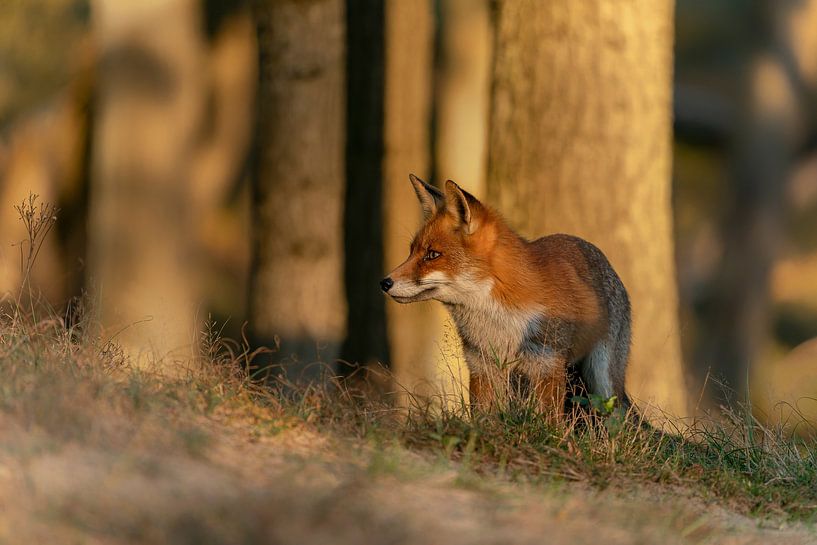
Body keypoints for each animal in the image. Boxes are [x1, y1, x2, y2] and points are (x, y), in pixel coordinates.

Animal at [380, 174, 632, 419]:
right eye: (411, 252)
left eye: (432, 255)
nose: (384, 282)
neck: (499, 322)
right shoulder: (481, 366)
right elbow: (483, 418)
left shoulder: (546, 365)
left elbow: (549, 421)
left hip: (602, 379)